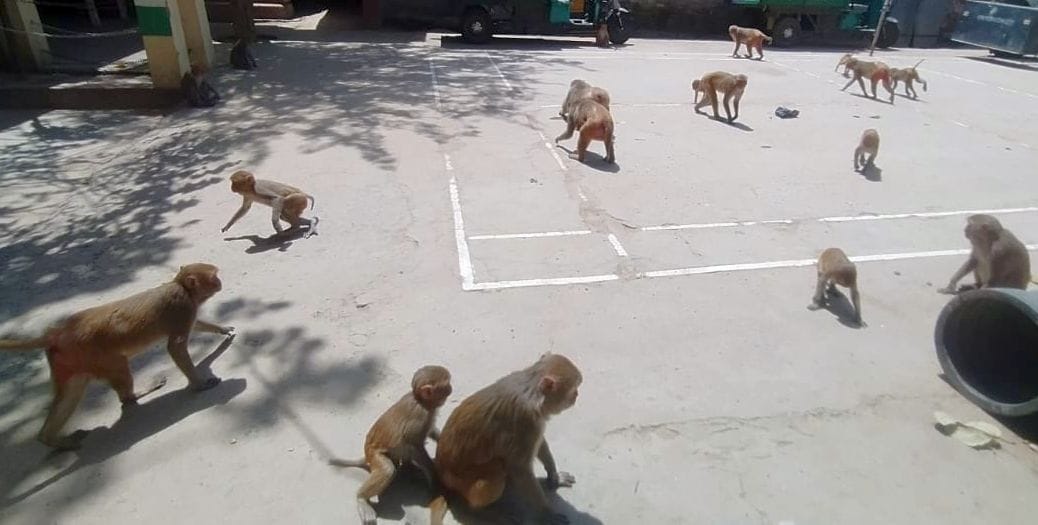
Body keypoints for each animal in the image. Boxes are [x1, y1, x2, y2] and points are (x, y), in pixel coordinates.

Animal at [0, 264, 234, 450]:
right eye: (214, 276)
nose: (220, 281)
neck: (181, 286)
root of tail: (58, 333)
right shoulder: (182, 309)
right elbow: (175, 347)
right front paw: (199, 384)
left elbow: (196, 327)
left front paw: (222, 329)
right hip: (100, 356)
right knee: (119, 371)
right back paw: (134, 394)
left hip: (71, 360)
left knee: (70, 394)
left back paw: (50, 440)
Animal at [328, 366, 452, 525]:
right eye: (446, 385)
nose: (451, 389)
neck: (421, 401)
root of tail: (366, 453)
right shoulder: (421, 416)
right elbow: (414, 444)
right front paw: (433, 472)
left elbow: (429, 432)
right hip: (374, 454)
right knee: (388, 469)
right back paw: (361, 498)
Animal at [430, 353, 581, 525]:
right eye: (573, 390)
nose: (577, 396)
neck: (532, 393)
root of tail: (442, 476)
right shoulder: (525, 421)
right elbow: (520, 469)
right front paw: (546, 514)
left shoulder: (535, 423)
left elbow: (538, 442)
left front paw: (554, 477)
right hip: (460, 482)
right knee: (497, 468)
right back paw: (481, 512)